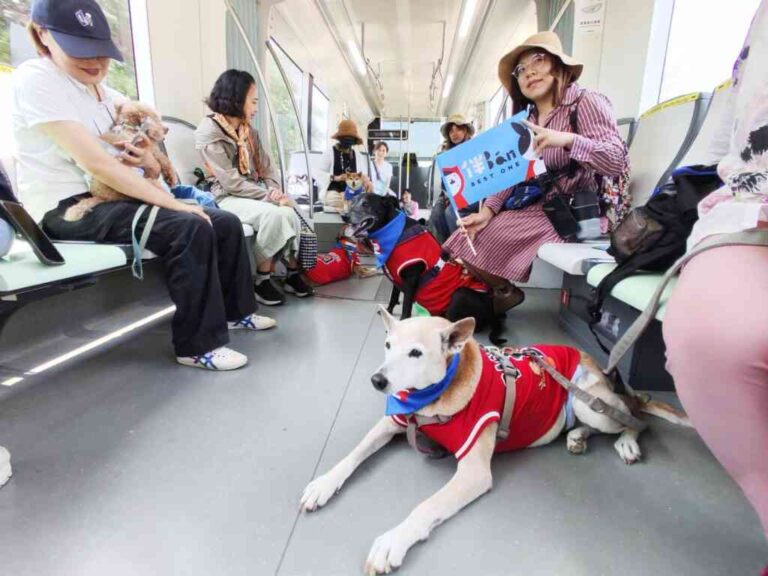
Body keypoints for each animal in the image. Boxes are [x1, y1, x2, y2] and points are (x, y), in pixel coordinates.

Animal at [300, 306, 688, 572]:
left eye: (416, 353)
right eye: (387, 345)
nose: (377, 381)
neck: (432, 399)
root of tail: (597, 363)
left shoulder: (473, 473)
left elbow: (426, 506)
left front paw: (393, 540)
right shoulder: (392, 421)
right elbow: (352, 455)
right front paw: (323, 484)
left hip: (590, 403)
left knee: (638, 417)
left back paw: (627, 441)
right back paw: (577, 435)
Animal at [346, 191, 504, 344]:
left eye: (365, 204)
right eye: (352, 202)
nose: (345, 216)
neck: (393, 232)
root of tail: (492, 311)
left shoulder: (410, 280)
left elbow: (406, 308)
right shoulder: (396, 276)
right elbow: (394, 296)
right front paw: (389, 310)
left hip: (460, 295)